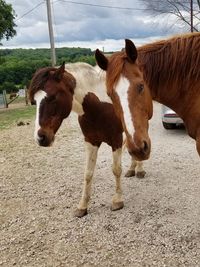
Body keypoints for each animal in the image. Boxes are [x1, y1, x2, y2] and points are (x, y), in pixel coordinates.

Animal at [28, 62, 151, 218]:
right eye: (34, 101)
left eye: (53, 97)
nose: (40, 137)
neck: (99, 106)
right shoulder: (91, 141)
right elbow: (88, 173)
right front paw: (82, 206)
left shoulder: (116, 140)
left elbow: (116, 169)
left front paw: (117, 200)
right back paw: (131, 169)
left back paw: (139, 169)